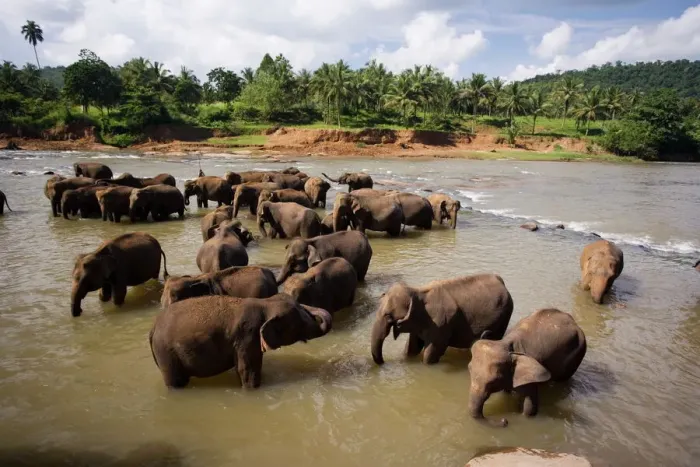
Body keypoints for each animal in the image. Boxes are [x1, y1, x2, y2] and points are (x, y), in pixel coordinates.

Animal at [149, 293, 332, 388]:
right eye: (299, 322)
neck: (265, 303)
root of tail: (153, 328)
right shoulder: (247, 335)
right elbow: (247, 371)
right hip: (166, 353)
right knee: (175, 381)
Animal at [371, 274, 514, 365]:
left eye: (388, 316)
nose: (383, 362)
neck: (417, 291)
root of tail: (502, 282)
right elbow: (412, 348)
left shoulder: (441, 324)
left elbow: (431, 353)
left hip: (504, 316)